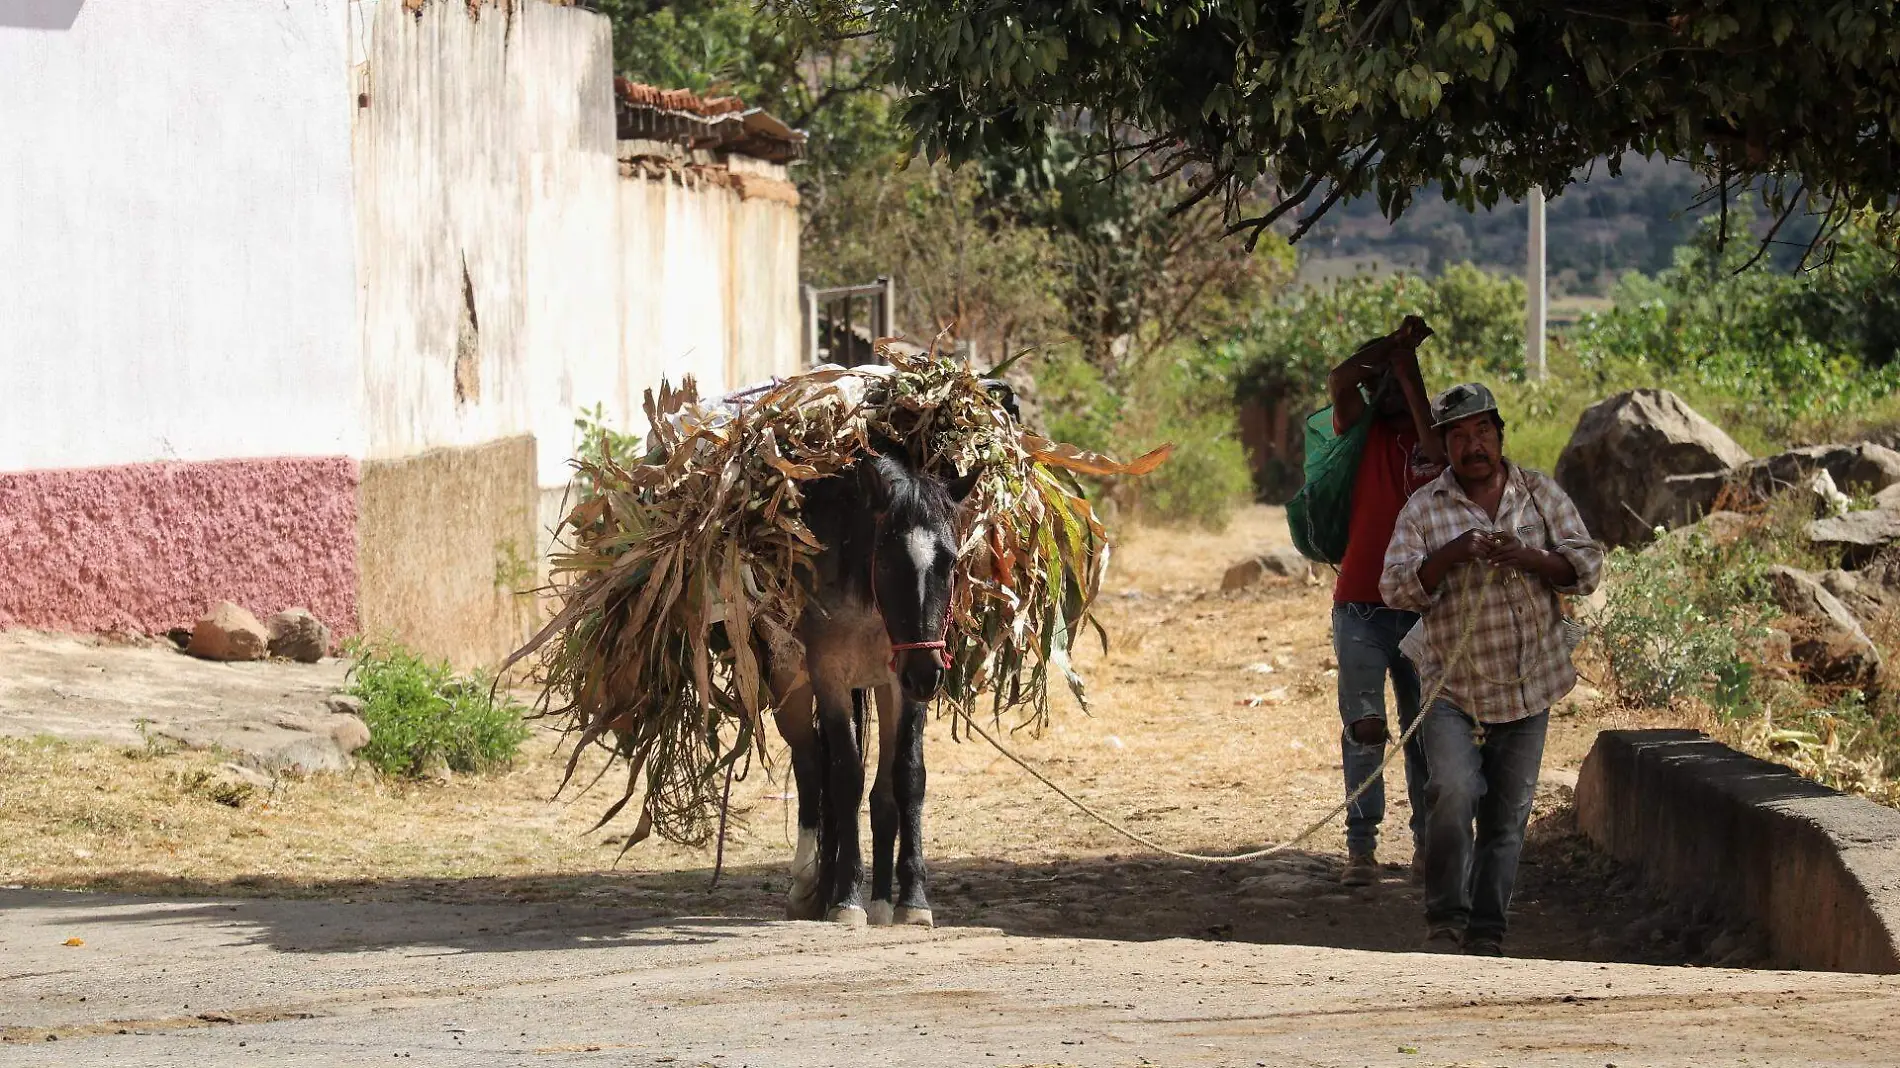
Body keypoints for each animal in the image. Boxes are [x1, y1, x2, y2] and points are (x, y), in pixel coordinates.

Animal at [763, 440, 972, 923]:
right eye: (888, 562)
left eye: (950, 563)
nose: (928, 673)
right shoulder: (829, 678)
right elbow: (845, 777)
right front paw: (845, 897)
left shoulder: (901, 686)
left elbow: (906, 779)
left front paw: (911, 900)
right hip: (789, 686)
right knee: (810, 766)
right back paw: (808, 882)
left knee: (878, 792)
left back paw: (875, 899)